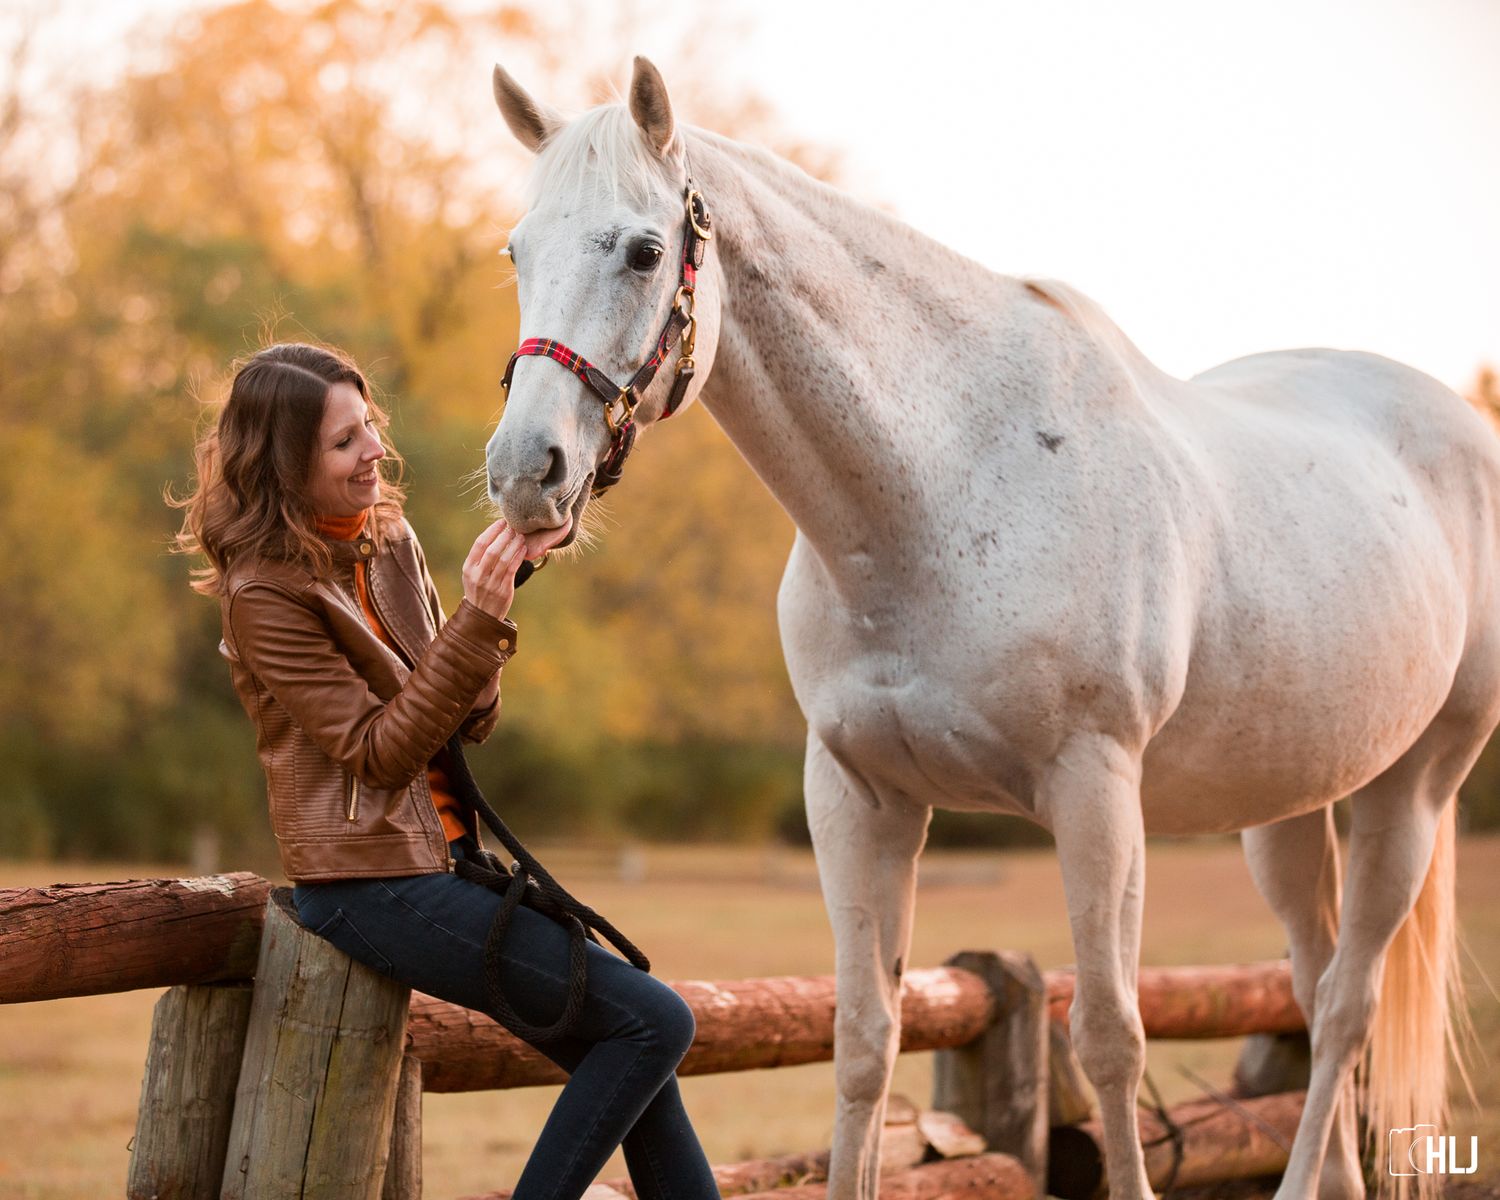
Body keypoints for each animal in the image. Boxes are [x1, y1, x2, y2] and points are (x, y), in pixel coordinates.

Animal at [481, 57, 1494, 1200]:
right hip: (1286, 805)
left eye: (645, 250)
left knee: (1346, 1006)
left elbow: (1109, 1039)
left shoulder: (1097, 794)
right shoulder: (858, 796)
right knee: (1318, 989)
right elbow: (865, 1042)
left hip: (1414, 793)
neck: (945, 483)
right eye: (517, 251)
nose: (525, 474)